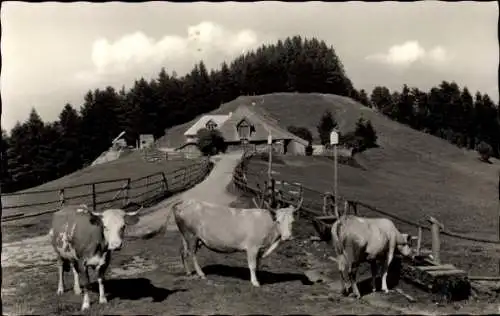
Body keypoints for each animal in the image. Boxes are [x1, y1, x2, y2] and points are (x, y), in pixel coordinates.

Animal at [172, 199, 302, 288]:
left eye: (292, 221)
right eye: (278, 221)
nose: (287, 237)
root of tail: (183, 203)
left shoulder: (259, 248)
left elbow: (258, 264)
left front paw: (259, 278)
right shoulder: (252, 247)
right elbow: (252, 265)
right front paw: (255, 282)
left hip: (187, 237)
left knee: (183, 251)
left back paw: (188, 272)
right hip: (191, 236)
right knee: (192, 253)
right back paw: (201, 274)